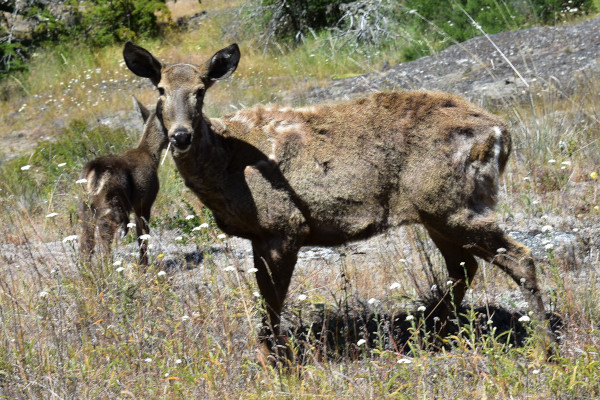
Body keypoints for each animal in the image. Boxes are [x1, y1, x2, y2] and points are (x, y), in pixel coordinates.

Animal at [79, 95, 168, 268]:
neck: (150, 154)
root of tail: (94, 171)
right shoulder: (144, 202)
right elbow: (142, 235)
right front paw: (143, 265)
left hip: (85, 206)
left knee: (86, 242)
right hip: (112, 203)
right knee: (105, 237)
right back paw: (108, 268)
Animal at [124, 40, 556, 360]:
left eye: (201, 91)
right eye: (160, 90)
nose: (180, 136)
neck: (227, 164)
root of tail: (501, 133)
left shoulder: (285, 225)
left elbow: (273, 302)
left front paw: (275, 362)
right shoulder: (260, 235)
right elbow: (267, 298)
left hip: (455, 204)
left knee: (520, 257)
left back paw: (545, 348)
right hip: (439, 212)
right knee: (464, 268)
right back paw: (431, 334)